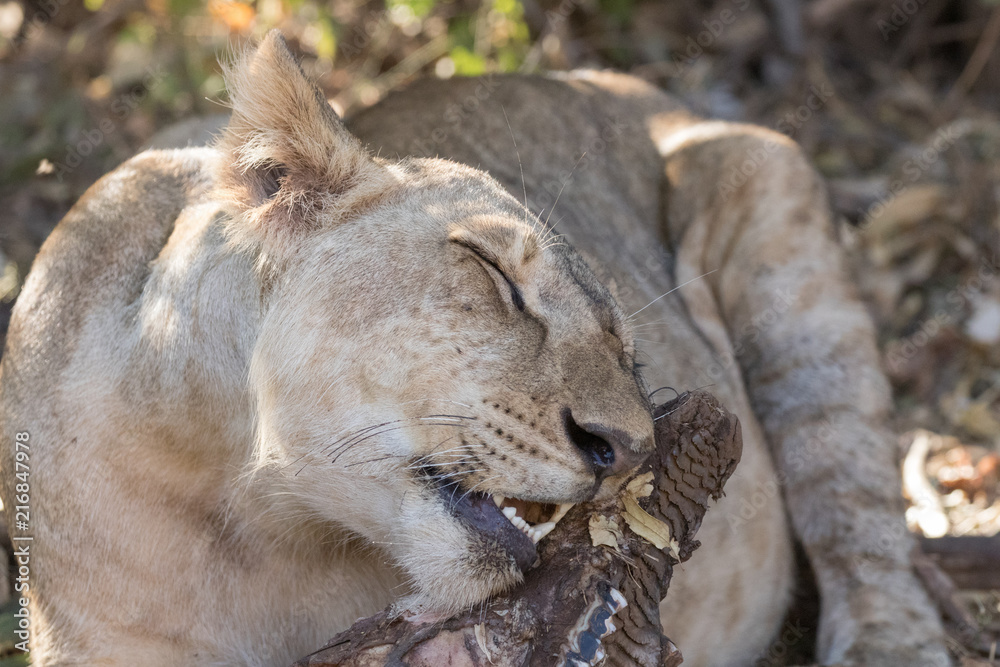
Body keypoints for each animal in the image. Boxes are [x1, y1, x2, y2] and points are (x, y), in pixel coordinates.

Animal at [0, 32, 949, 666]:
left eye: (624, 349)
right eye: (492, 271)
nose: (625, 448)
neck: (253, 514)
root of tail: (649, 93)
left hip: (778, 221)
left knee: (856, 511)